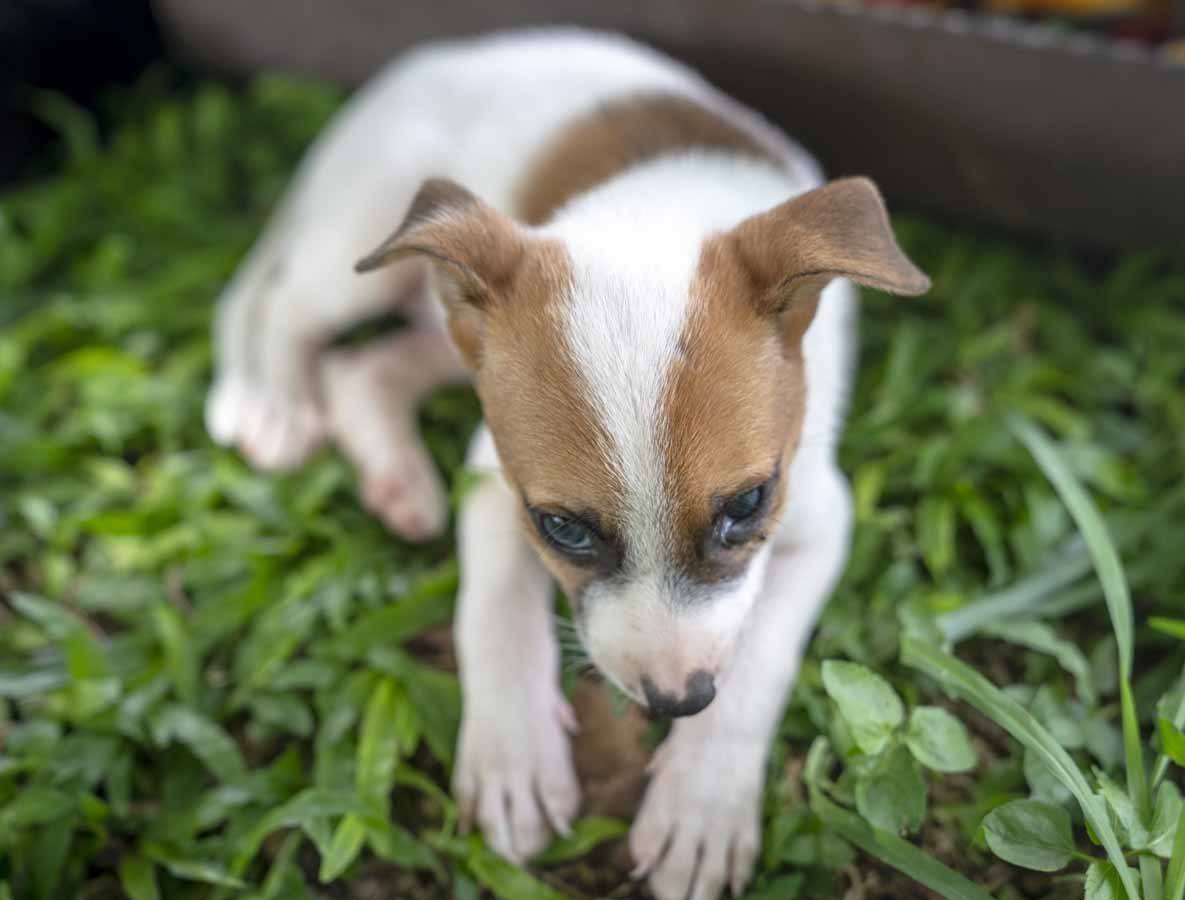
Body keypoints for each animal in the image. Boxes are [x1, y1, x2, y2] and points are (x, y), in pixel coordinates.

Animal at [208, 28, 929, 900]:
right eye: (564, 530)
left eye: (748, 505)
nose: (677, 702)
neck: (655, 220)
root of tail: (428, 58)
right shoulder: (495, 481)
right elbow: (495, 612)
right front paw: (513, 756)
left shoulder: (820, 518)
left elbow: (759, 661)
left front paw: (701, 806)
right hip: (358, 250)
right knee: (280, 307)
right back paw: (274, 401)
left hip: (455, 335)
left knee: (360, 370)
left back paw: (397, 480)